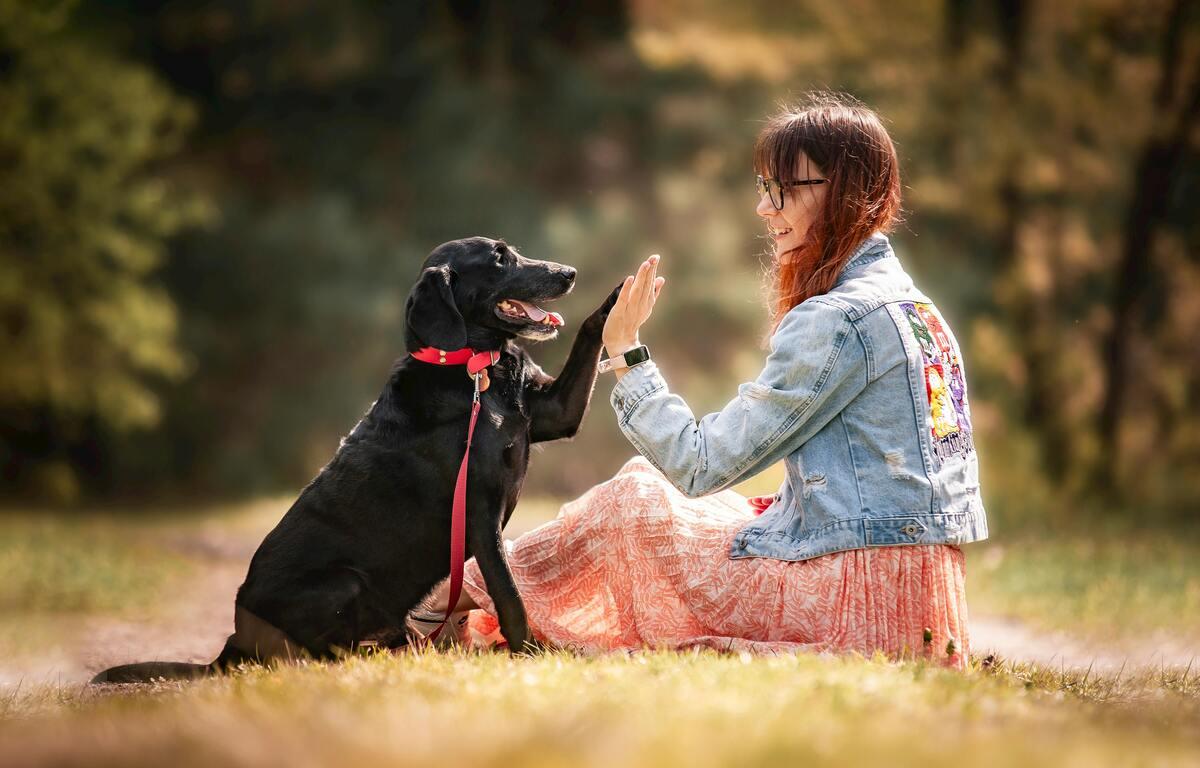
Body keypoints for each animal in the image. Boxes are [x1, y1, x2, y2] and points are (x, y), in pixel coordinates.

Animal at [91, 237, 619, 681]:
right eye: (499, 259)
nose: (569, 273)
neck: (474, 371)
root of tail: (232, 644)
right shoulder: (480, 516)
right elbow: (510, 595)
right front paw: (532, 654)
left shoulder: (555, 413)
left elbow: (590, 332)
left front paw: (621, 295)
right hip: (343, 583)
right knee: (315, 654)